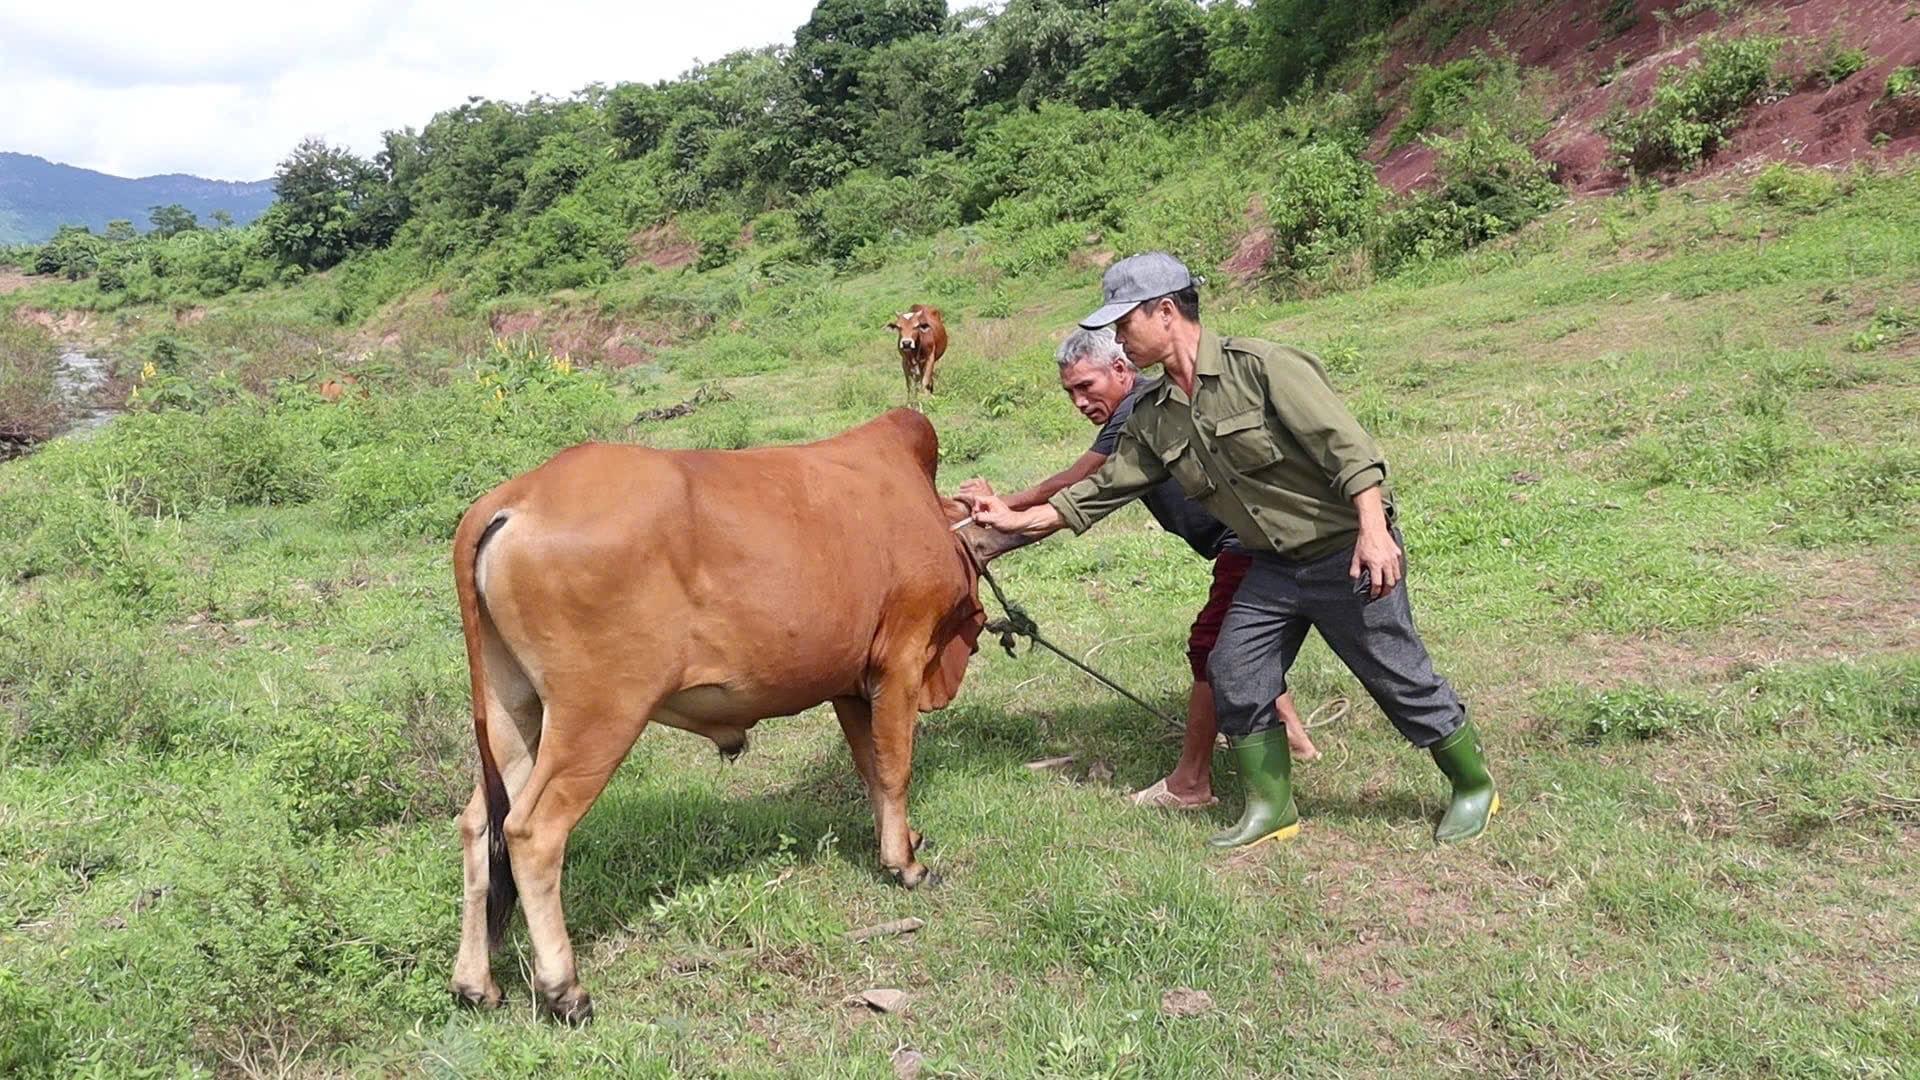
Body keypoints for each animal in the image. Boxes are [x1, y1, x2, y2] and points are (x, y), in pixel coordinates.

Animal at [447, 403, 1006, 1014]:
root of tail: (514, 499)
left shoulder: (852, 686)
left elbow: (873, 770)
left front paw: (897, 844)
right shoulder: (901, 661)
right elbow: (895, 768)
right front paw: (907, 866)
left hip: (512, 710)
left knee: (479, 824)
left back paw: (475, 984)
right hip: (596, 716)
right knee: (531, 831)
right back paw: (565, 989)